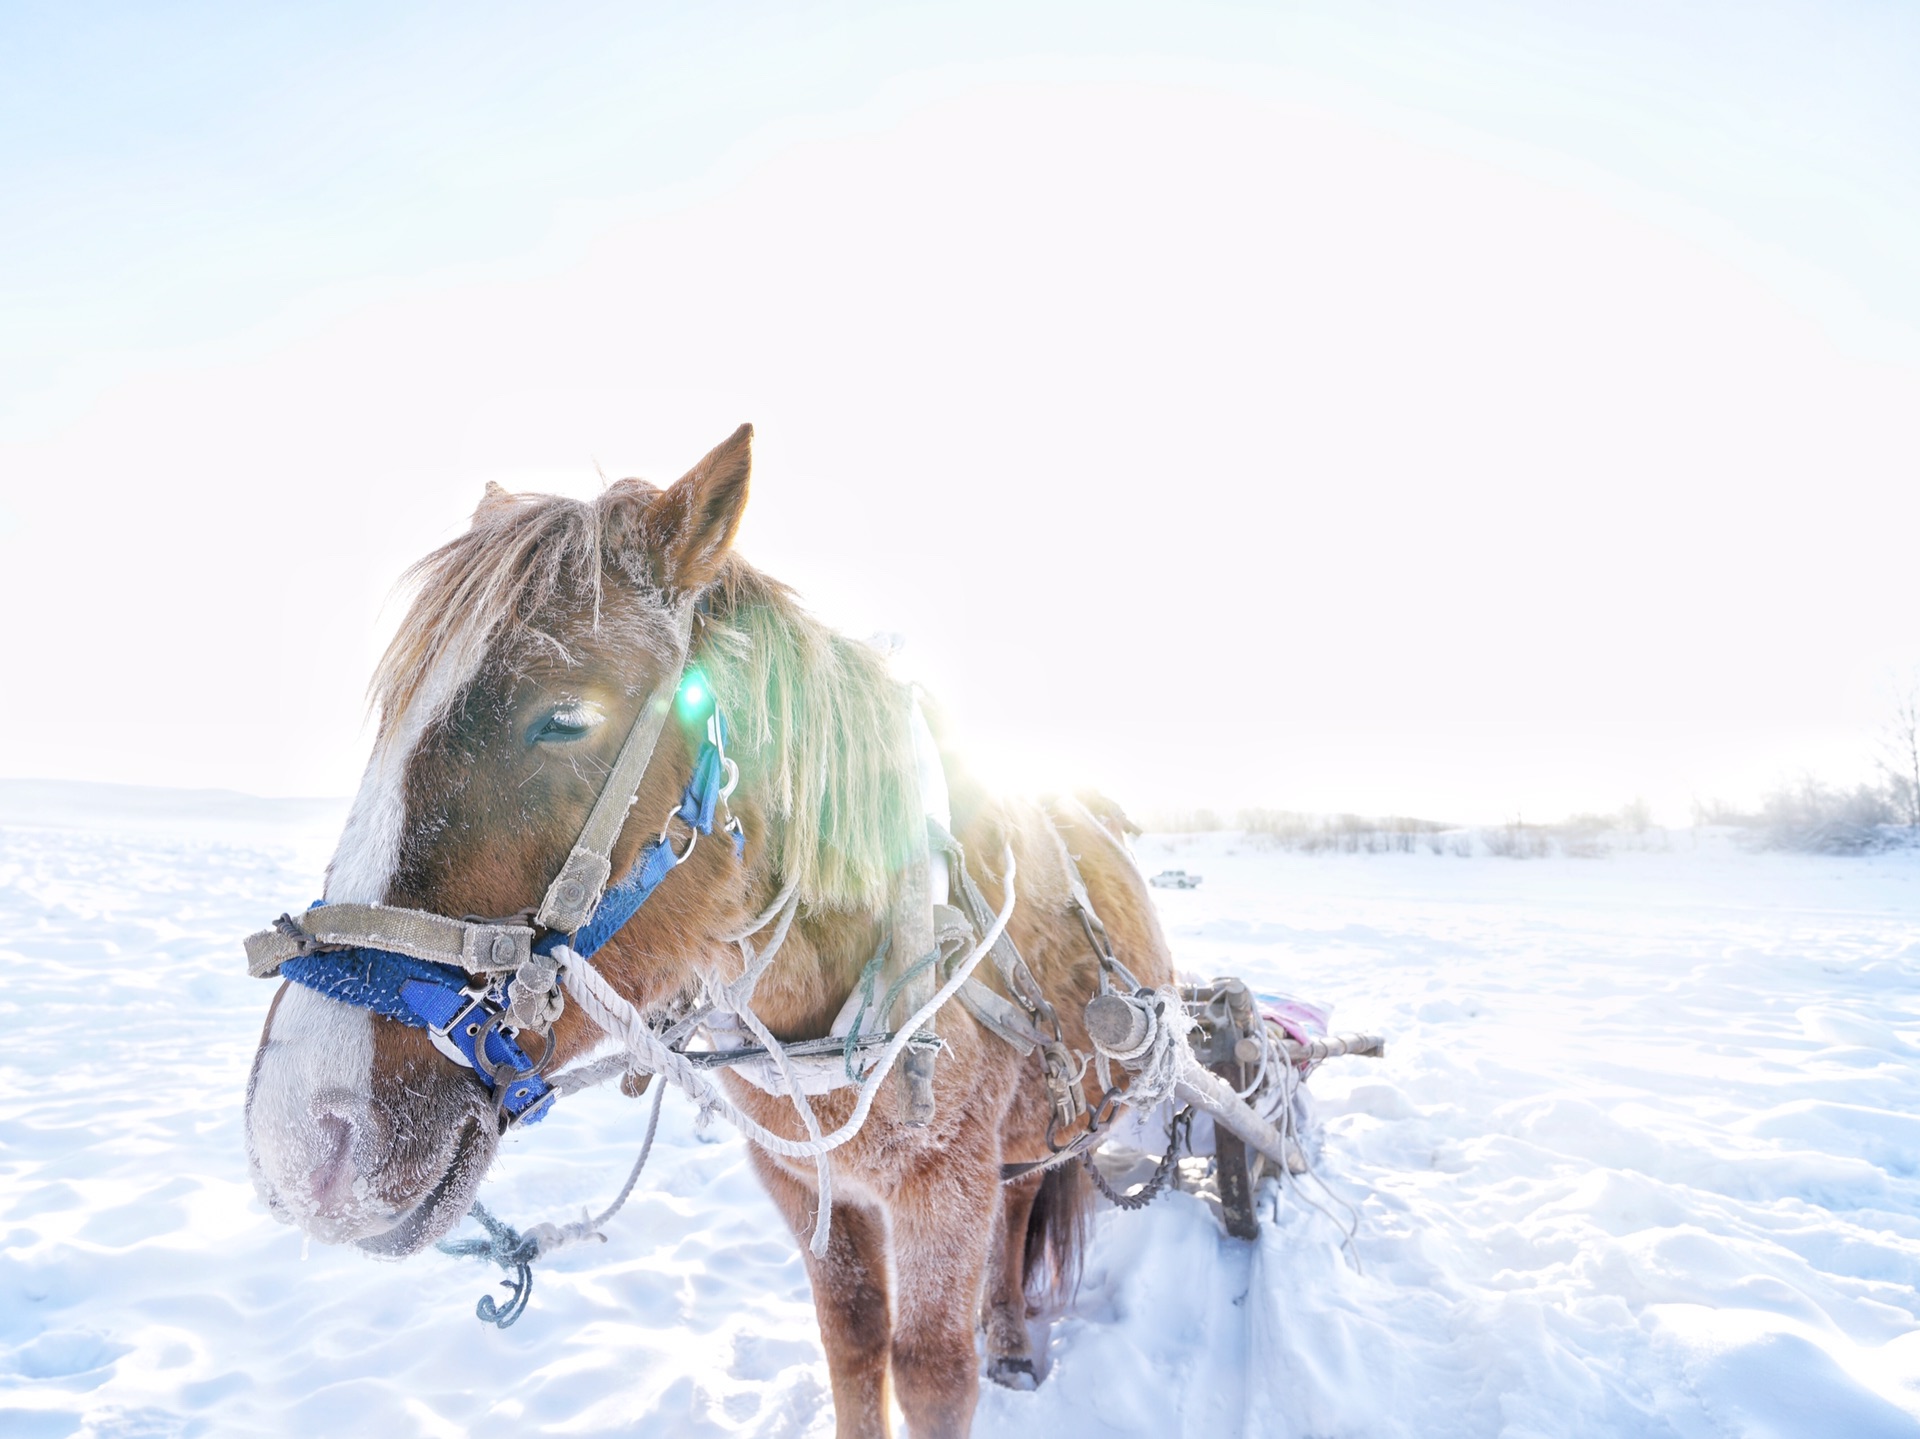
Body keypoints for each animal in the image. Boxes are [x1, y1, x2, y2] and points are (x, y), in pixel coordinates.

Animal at [240, 420, 1167, 1429]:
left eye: (565, 717)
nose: (302, 1138)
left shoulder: (944, 1189)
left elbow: (929, 1369)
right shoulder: (802, 1181)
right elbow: (851, 1338)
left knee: (1025, 1199)